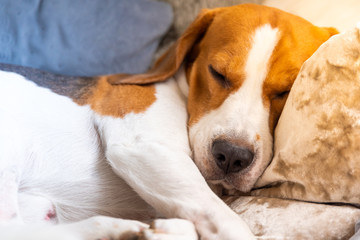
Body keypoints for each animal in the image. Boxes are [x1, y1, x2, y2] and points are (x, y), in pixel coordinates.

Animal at [0, 3, 338, 240]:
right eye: (217, 73)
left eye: (284, 91)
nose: (232, 156)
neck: (181, 92)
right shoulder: (145, 148)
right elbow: (224, 218)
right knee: (12, 230)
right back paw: (112, 228)